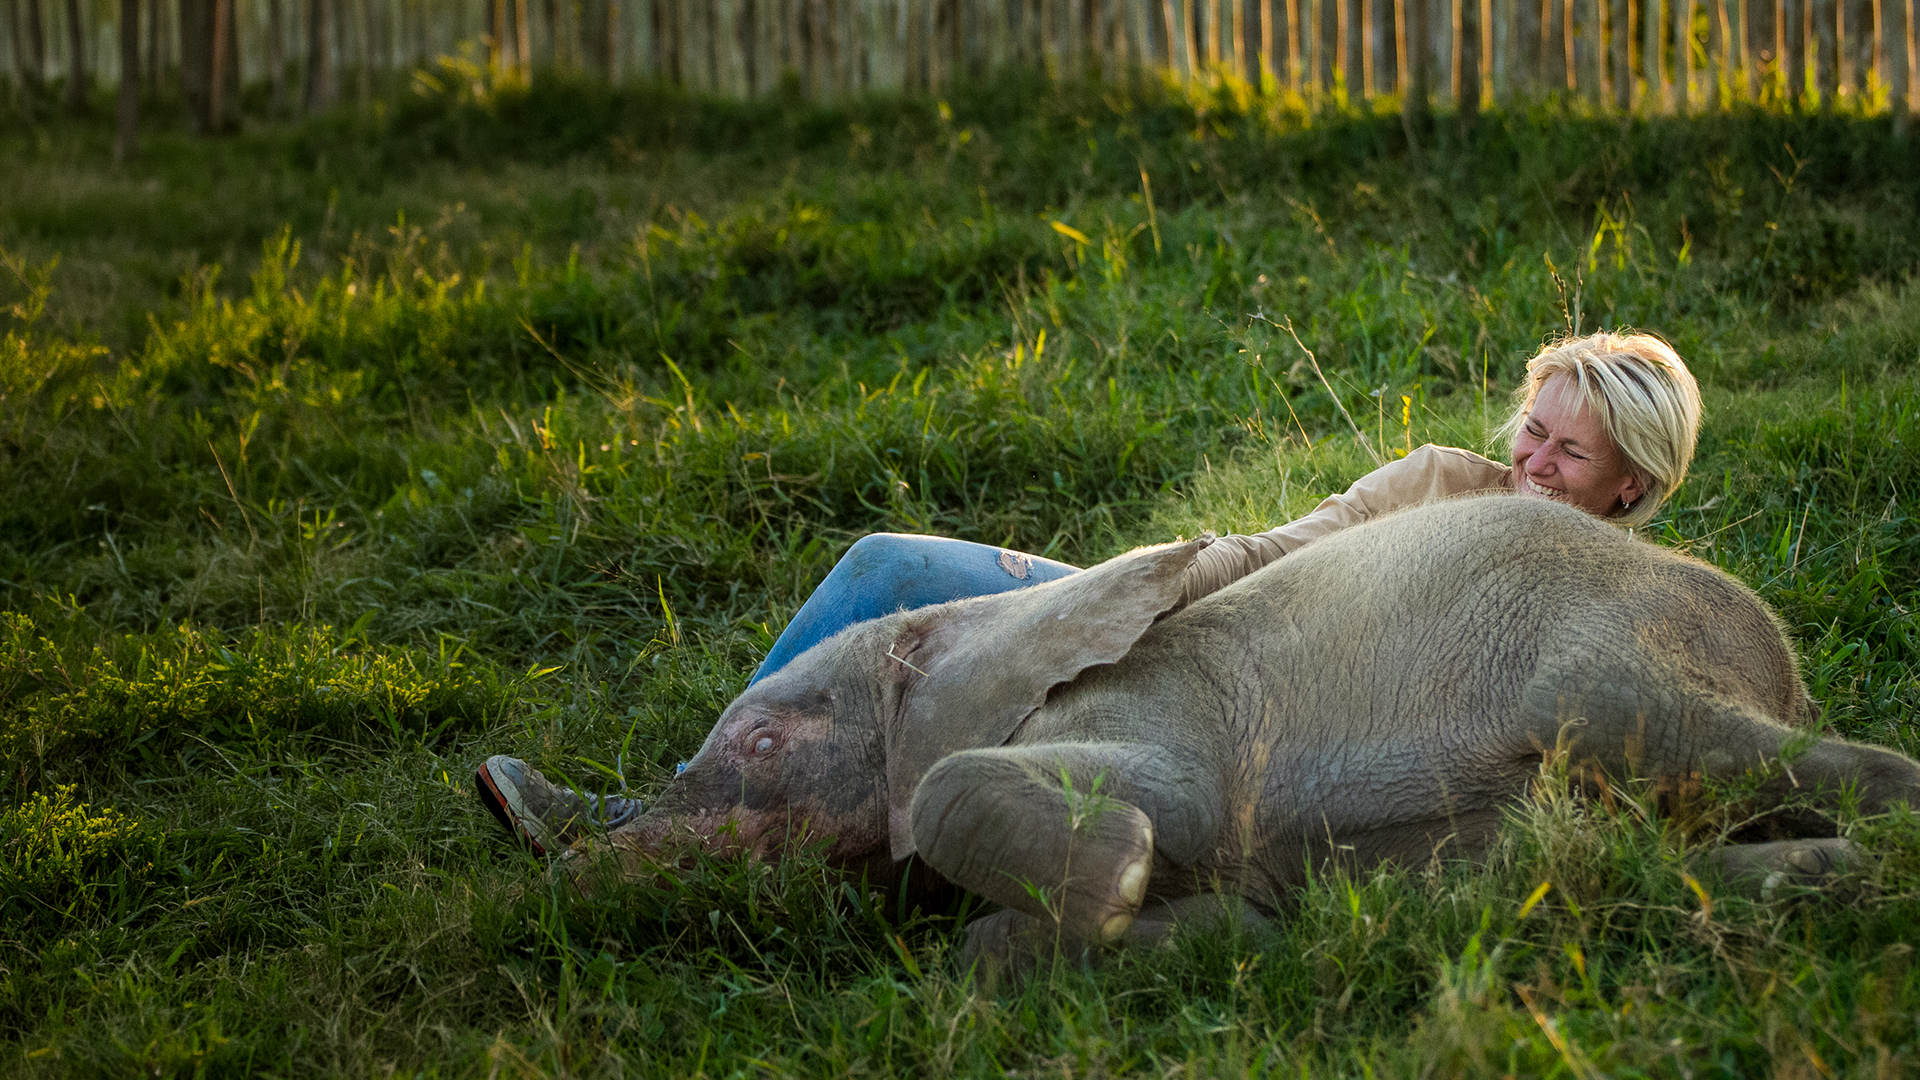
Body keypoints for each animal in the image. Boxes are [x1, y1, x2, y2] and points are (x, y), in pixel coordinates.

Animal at [579, 494, 1920, 968]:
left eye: (762, 749)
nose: (590, 868)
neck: (969, 629)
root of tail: (1784, 663)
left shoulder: (1161, 713)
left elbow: (1133, 800)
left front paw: (1118, 882)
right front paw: (1202, 925)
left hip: (1616, 648)